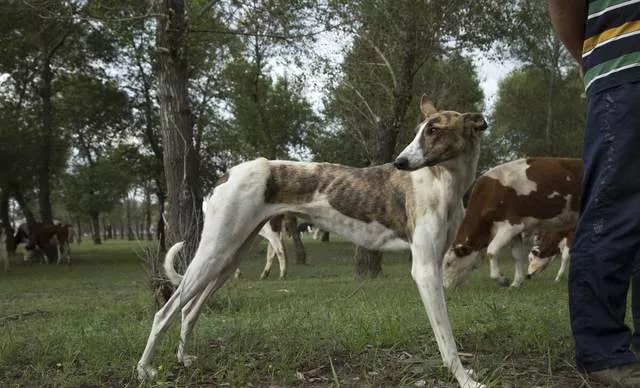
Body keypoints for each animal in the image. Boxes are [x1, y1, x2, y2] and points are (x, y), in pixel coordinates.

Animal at [442, 158, 584, 288]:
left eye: (448, 263)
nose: (445, 287)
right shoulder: (516, 231)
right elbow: (517, 256)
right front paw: (516, 283)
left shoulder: (511, 225)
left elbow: (491, 251)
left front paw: (502, 279)